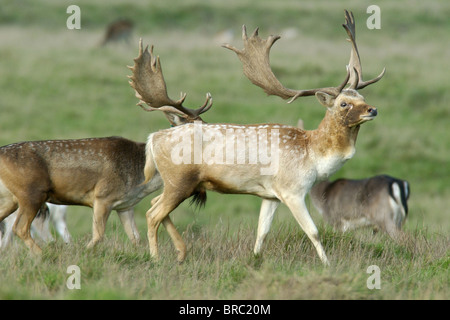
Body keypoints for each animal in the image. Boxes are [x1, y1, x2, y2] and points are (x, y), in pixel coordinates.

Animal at [131, 10, 386, 264]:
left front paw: (255, 258)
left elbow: (262, 231)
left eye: (362, 97)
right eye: (344, 103)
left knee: (154, 205)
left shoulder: (270, 195)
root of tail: (153, 138)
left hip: (178, 184)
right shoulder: (292, 189)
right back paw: (156, 258)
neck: (312, 153)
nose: (373, 110)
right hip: (180, 181)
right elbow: (313, 231)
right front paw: (327, 264)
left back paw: (181, 252)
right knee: (152, 213)